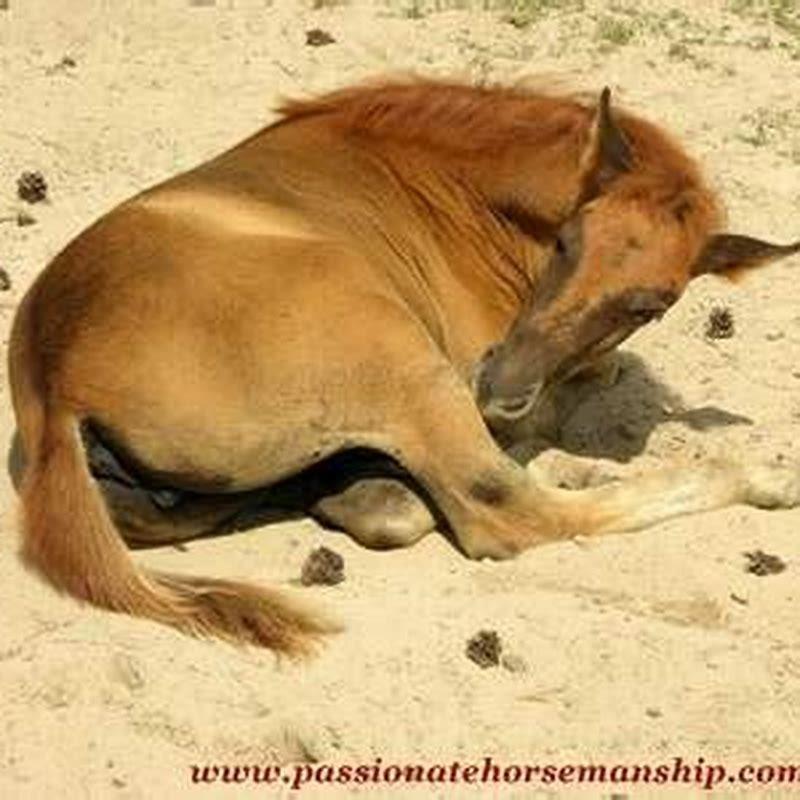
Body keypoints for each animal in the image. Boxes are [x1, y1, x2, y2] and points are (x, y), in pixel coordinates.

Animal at [8, 79, 800, 655]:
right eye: (567, 242)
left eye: (652, 305)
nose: (499, 385)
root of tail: (56, 377)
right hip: (403, 359)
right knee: (503, 510)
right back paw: (759, 476)